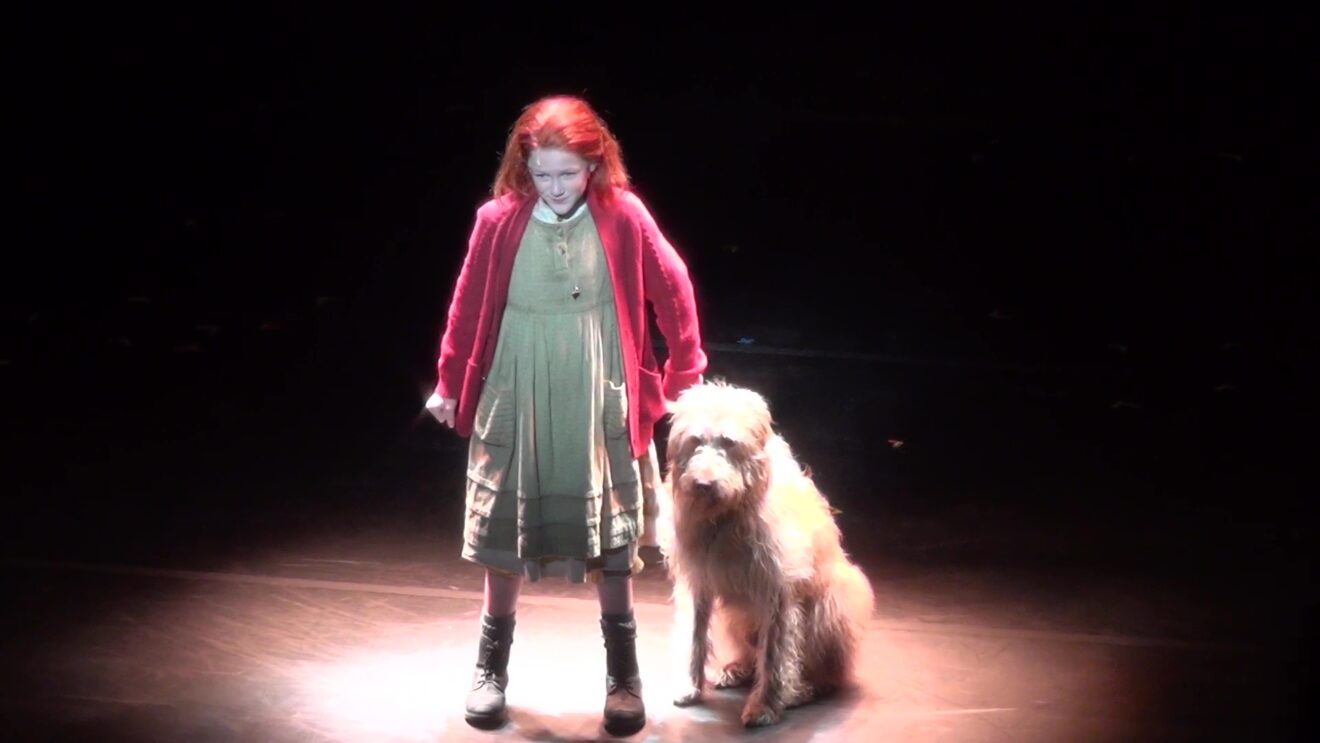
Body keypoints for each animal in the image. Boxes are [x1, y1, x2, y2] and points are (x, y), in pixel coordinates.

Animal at [655, 381, 875, 727]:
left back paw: (804, 690)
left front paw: (765, 706)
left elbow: (774, 655)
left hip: (837, 601)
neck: (727, 515)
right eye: (696, 441)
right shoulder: (698, 581)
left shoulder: (777, 591)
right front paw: (690, 686)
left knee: (828, 671)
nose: (703, 484)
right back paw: (739, 669)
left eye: (728, 442)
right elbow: (695, 636)